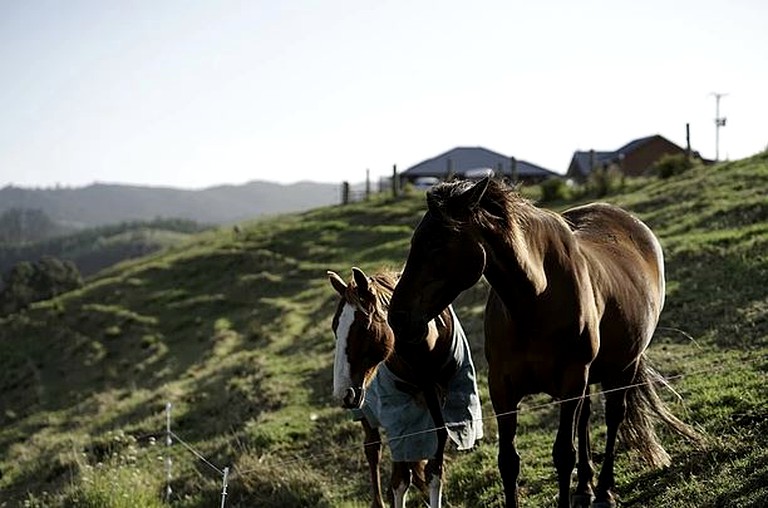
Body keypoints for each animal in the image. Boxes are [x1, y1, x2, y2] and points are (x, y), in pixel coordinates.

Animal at [328, 268, 484, 506]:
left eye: (363, 327)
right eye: (335, 328)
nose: (343, 393)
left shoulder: (438, 413)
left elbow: (433, 473)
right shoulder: (397, 418)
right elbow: (400, 481)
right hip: (366, 412)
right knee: (373, 450)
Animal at [388, 179, 700, 508]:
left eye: (438, 242)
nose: (397, 316)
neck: (535, 301)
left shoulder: (572, 379)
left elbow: (563, 455)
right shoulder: (502, 387)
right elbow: (508, 461)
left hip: (623, 366)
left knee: (614, 416)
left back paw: (602, 491)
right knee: (585, 418)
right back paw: (585, 488)